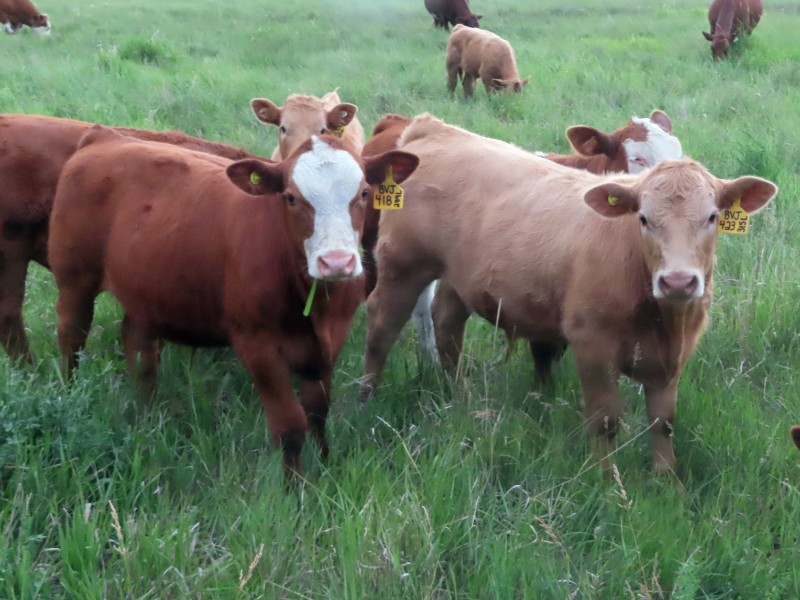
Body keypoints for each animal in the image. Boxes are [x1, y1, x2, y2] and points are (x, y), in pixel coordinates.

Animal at [48, 126, 418, 476]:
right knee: (72, 337)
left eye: (364, 193)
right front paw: (296, 487)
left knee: (139, 348)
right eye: (291, 197)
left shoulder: (330, 342)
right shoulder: (257, 344)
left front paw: (325, 467)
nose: (337, 262)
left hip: (144, 291)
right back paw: (70, 396)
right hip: (76, 280)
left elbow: (318, 412)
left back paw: (145, 411)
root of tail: (103, 136)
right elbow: (290, 425)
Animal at [358, 114, 777, 475]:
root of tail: (433, 128)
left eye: (712, 217)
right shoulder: (592, 344)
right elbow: (605, 420)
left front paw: (667, 484)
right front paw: (609, 483)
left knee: (447, 324)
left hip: (458, 277)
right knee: (381, 329)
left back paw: (458, 394)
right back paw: (366, 400)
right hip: (402, 268)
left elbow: (663, 422)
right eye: (642, 217)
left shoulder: (672, 355)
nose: (677, 281)